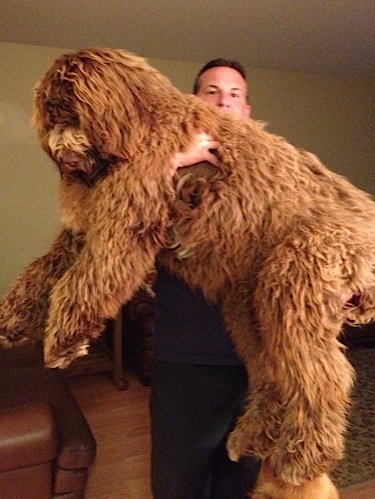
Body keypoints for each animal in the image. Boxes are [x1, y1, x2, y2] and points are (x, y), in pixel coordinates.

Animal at [0, 46, 375, 496]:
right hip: (249, 305)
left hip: (295, 279)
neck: (142, 122)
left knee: (324, 380)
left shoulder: (126, 221)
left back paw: (303, 457)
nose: (63, 152)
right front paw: (14, 317)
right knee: (273, 378)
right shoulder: (86, 227)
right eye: (52, 114)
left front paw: (64, 338)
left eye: (73, 111)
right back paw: (251, 437)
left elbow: (88, 275)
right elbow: (44, 268)